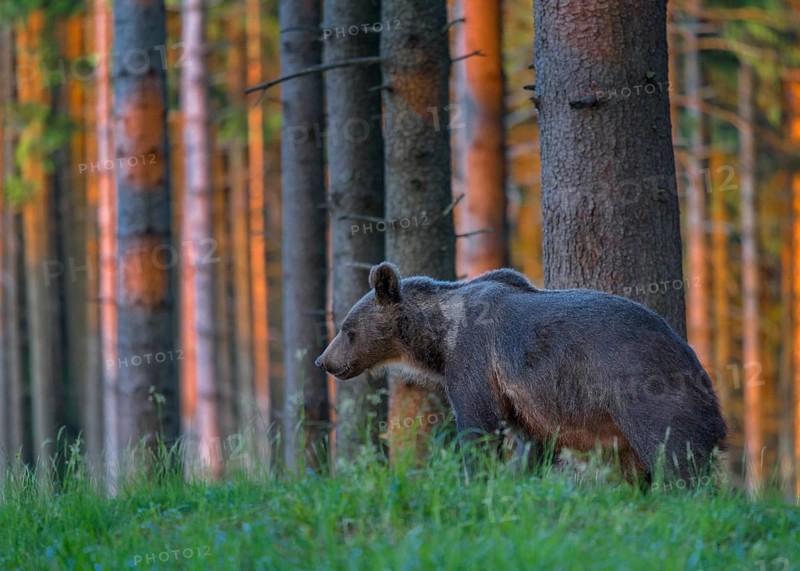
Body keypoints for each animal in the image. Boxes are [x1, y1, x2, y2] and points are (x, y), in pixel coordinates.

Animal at [315, 261, 727, 483]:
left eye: (346, 328)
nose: (324, 361)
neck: (441, 337)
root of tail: (693, 361)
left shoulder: (474, 358)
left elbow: (478, 424)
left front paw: (475, 477)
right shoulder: (522, 399)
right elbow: (533, 442)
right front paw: (522, 477)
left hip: (643, 388)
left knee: (674, 450)